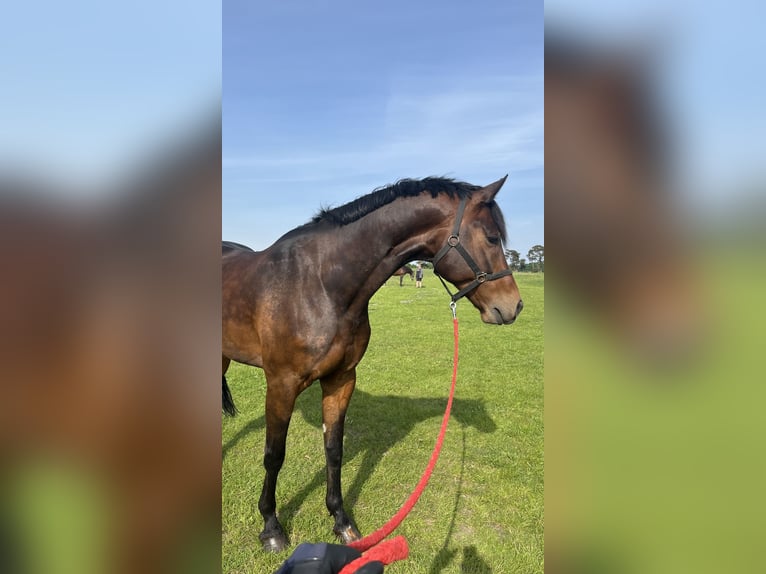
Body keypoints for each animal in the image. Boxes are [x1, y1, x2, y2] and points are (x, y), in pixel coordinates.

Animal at [222, 176, 523, 552]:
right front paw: (271, 528)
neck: (319, 284)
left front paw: (341, 521)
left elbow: (334, 449)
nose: (513, 306)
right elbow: (274, 455)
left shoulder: (340, 379)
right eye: (492, 237)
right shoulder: (281, 384)